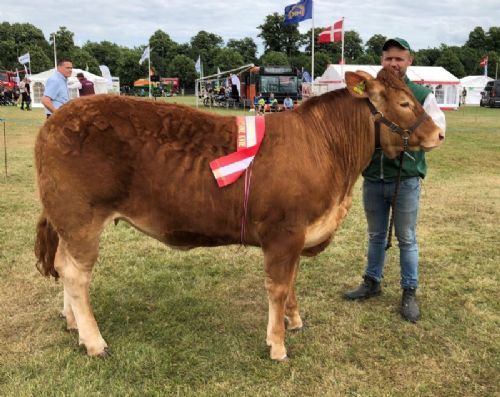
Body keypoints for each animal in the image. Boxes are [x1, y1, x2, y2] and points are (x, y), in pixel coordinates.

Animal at [33, 68, 444, 358]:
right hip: (81, 220)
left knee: (64, 267)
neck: (325, 146)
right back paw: (94, 341)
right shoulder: (284, 231)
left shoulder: (296, 234)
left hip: (69, 224)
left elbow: (292, 280)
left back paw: (72, 325)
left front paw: (294, 320)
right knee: (76, 274)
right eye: (404, 104)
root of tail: (59, 118)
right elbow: (278, 286)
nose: (438, 134)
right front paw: (277, 344)